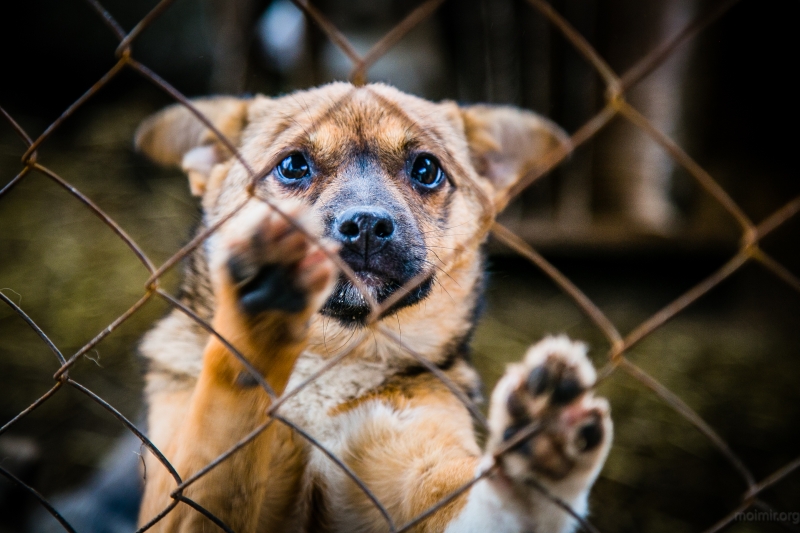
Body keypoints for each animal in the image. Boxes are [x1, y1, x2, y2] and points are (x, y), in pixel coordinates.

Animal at [134, 81, 612, 528]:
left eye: (426, 168)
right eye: (292, 165)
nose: (365, 224)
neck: (332, 360)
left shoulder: (422, 476)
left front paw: (535, 457)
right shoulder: (179, 494)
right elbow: (222, 428)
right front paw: (262, 311)